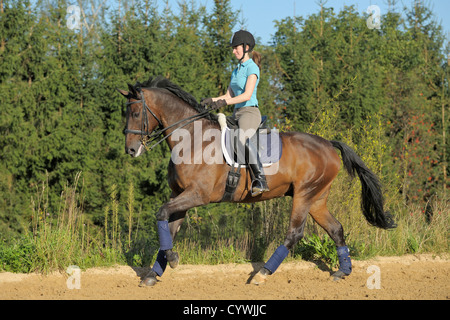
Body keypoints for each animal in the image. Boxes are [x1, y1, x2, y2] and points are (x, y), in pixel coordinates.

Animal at [118, 75, 396, 288]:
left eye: (135, 112)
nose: (130, 150)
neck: (193, 139)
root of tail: (328, 144)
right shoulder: (181, 195)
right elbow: (168, 225)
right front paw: (154, 273)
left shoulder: (198, 195)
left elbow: (161, 213)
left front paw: (172, 259)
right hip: (317, 198)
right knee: (336, 229)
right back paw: (343, 271)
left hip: (304, 194)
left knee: (294, 233)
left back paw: (262, 274)